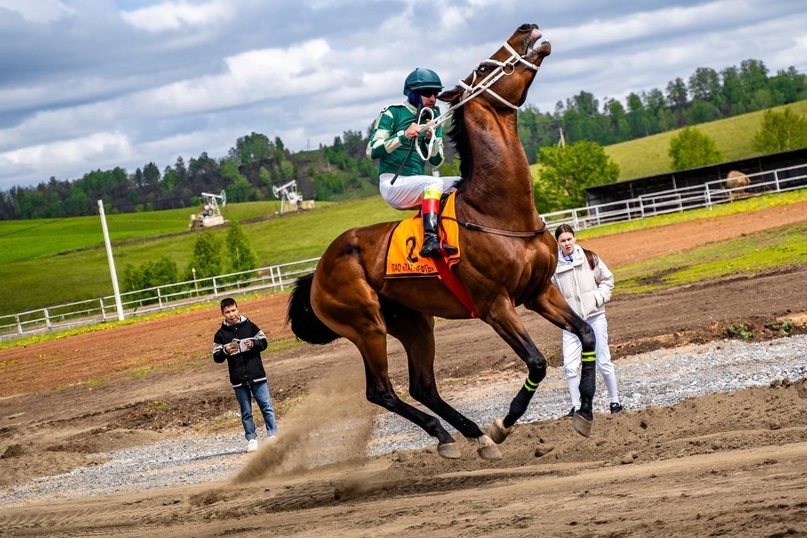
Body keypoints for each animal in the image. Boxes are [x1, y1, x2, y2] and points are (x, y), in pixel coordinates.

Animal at [290, 23, 600, 458]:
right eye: (485, 67)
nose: (526, 28)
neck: (497, 211)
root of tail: (316, 274)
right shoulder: (495, 305)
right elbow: (537, 362)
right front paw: (503, 425)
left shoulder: (540, 292)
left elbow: (586, 332)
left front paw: (584, 413)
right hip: (367, 326)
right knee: (381, 391)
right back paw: (451, 434)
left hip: (415, 323)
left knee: (423, 386)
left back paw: (470, 434)